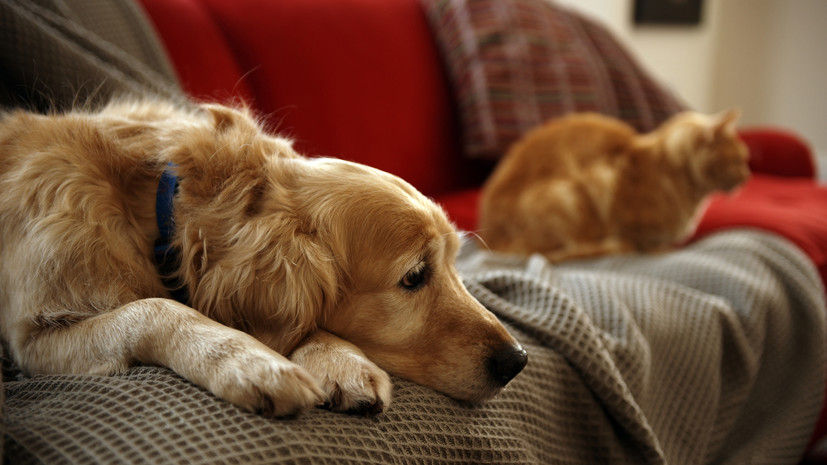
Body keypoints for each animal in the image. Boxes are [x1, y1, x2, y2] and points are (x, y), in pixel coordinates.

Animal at [0, 99, 528, 416]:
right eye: (415, 276)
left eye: (456, 261)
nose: (518, 360)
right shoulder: (34, 338)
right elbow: (155, 308)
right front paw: (251, 363)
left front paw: (339, 360)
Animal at [478, 109, 752, 260]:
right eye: (737, 161)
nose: (747, 176)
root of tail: (489, 239)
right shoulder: (610, 187)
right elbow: (641, 241)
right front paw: (659, 249)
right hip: (567, 195)